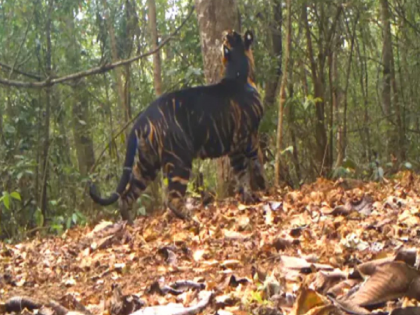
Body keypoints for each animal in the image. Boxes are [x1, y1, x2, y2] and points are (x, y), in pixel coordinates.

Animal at [89, 30, 266, 222]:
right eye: (235, 35)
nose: (227, 32)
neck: (238, 72)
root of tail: (142, 119)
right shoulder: (247, 136)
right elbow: (255, 162)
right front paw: (262, 188)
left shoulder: (235, 147)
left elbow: (241, 173)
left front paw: (247, 196)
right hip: (180, 159)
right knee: (171, 198)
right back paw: (191, 218)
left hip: (146, 163)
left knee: (126, 195)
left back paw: (130, 222)